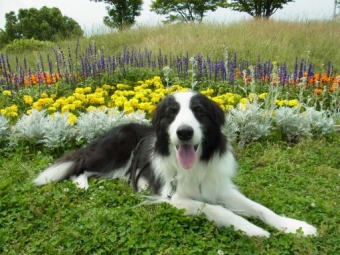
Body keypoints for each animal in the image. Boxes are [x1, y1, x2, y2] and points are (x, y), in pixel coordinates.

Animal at [33, 90, 318, 237]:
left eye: (199, 111)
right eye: (172, 113)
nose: (184, 133)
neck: (194, 167)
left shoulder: (218, 187)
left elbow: (260, 208)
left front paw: (294, 225)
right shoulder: (174, 198)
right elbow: (218, 210)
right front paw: (252, 230)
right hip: (111, 155)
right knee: (80, 163)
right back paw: (81, 184)